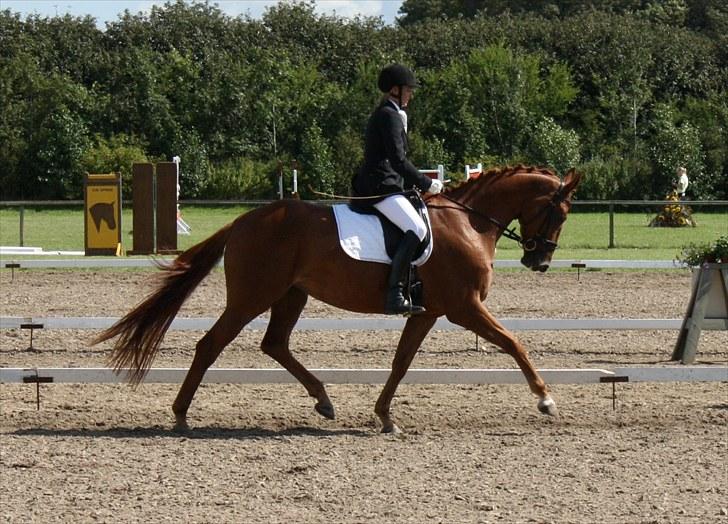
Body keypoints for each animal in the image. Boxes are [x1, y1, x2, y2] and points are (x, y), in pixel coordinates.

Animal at [94, 166, 580, 432]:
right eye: (558, 212)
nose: (539, 261)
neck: (469, 224)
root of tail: (245, 220)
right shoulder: (464, 307)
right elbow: (514, 343)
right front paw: (545, 399)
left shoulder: (430, 312)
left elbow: (401, 362)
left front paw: (385, 416)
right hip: (253, 295)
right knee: (211, 344)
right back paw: (180, 415)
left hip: (291, 295)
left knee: (275, 344)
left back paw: (323, 400)